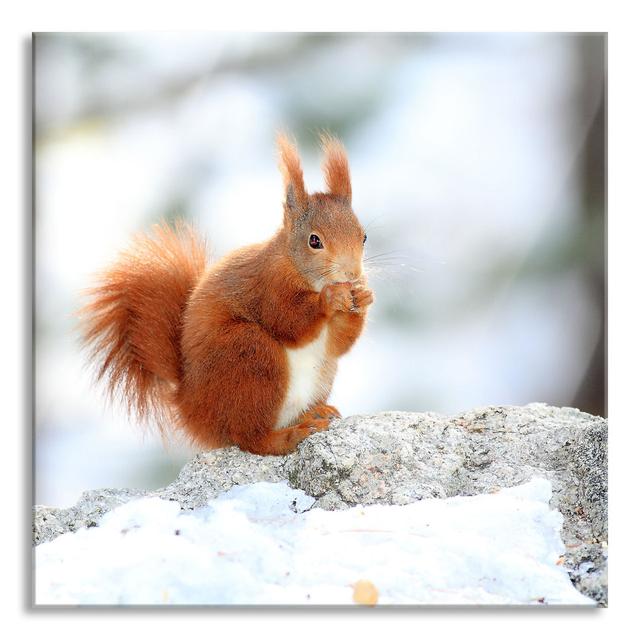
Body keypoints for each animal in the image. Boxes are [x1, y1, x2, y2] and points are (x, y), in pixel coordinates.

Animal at [80, 134, 372, 456]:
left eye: (363, 236)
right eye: (315, 241)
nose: (352, 274)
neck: (297, 268)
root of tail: (190, 407)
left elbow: (338, 344)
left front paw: (364, 296)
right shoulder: (268, 286)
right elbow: (288, 322)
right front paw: (330, 298)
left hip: (319, 373)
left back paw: (314, 413)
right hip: (249, 356)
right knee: (250, 437)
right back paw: (290, 435)